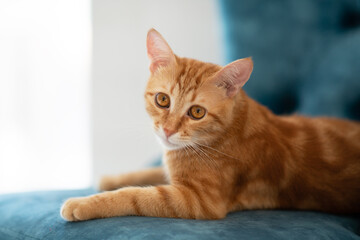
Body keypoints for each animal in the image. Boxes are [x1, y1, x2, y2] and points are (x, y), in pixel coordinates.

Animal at [59, 28, 360, 221]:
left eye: (197, 112)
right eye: (162, 100)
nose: (168, 130)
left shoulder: (198, 201)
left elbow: (134, 197)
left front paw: (83, 204)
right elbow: (149, 173)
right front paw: (112, 179)